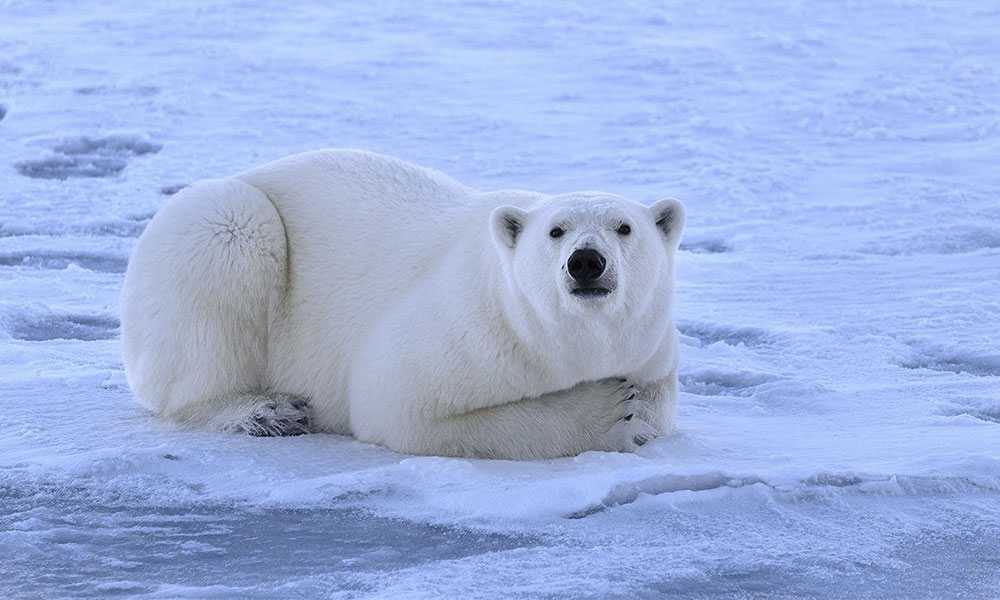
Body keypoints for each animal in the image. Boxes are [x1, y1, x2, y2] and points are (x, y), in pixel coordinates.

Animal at [115, 150, 680, 460]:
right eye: (555, 231)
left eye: (624, 227)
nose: (585, 262)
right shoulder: (475, 327)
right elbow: (401, 403)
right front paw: (610, 413)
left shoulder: (650, 345)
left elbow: (660, 400)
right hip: (220, 225)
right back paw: (264, 410)